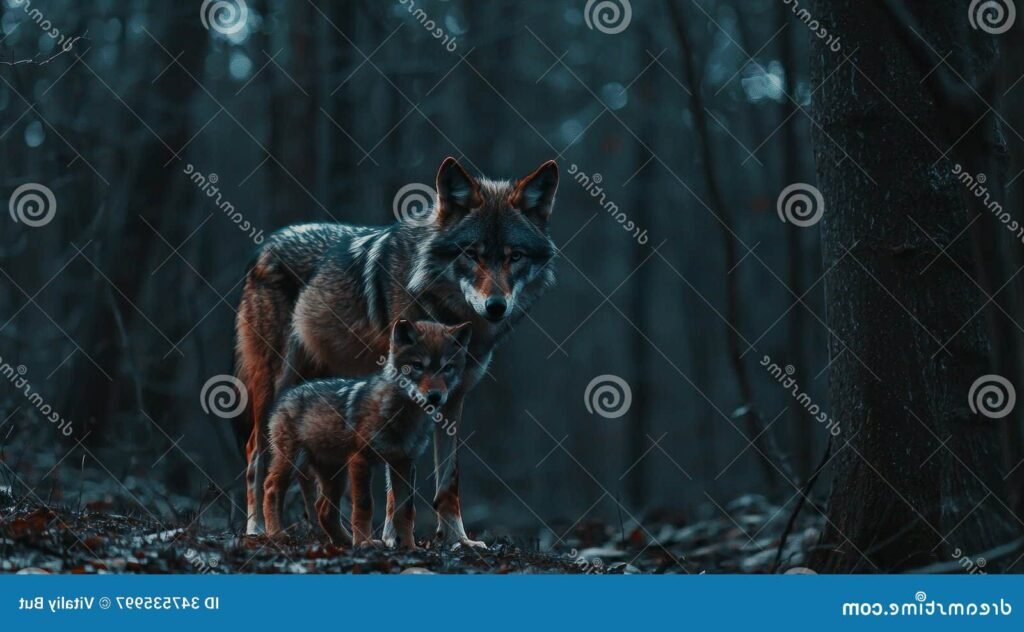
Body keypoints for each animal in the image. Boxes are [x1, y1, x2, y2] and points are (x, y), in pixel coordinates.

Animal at [263, 320, 471, 549]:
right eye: (417, 366)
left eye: (448, 368)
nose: (435, 396)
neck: (403, 417)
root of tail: (287, 395)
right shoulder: (361, 459)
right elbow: (364, 506)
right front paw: (364, 543)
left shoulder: (404, 462)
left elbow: (405, 510)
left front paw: (409, 547)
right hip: (294, 463)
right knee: (271, 488)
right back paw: (277, 534)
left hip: (336, 476)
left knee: (323, 509)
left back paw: (344, 542)